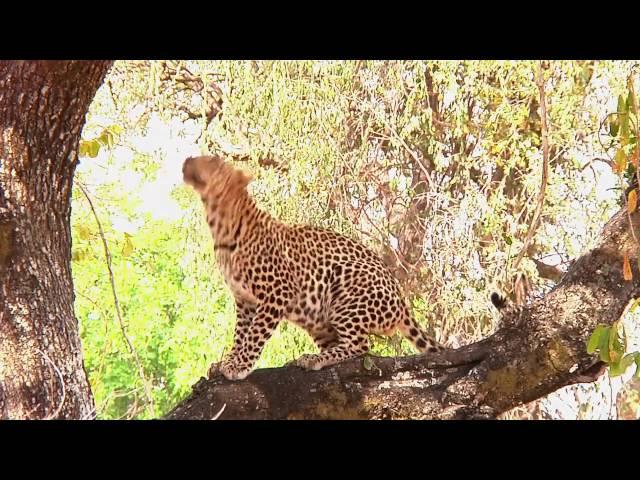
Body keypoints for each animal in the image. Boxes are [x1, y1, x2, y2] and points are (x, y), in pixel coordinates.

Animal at [181, 156, 444, 380]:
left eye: (212, 161)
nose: (188, 159)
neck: (220, 226)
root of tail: (401, 302)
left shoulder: (277, 292)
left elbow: (254, 334)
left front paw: (239, 366)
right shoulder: (244, 300)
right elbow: (240, 334)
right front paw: (227, 361)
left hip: (346, 288)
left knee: (361, 344)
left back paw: (313, 359)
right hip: (318, 322)